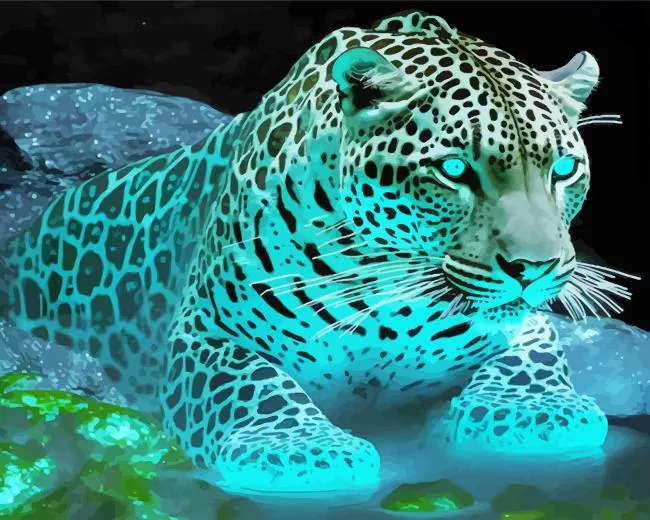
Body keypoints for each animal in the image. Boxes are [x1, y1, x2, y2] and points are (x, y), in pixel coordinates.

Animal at [1, 9, 635, 493]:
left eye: (563, 169)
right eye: (455, 170)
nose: (535, 269)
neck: (392, 295)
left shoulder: (520, 324)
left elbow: (532, 351)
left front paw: (535, 410)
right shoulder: (206, 331)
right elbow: (253, 383)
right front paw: (300, 448)